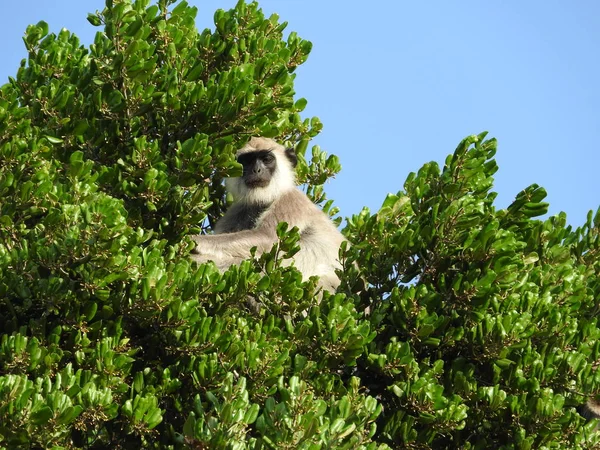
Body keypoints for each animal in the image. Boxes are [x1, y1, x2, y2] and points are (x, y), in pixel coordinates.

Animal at [190, 137, 344, 292]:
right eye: (247, 160)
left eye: (267, 159)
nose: (256, 170)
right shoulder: (238, 211)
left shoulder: (290, 201)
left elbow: (267, 237)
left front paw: (192, 240)